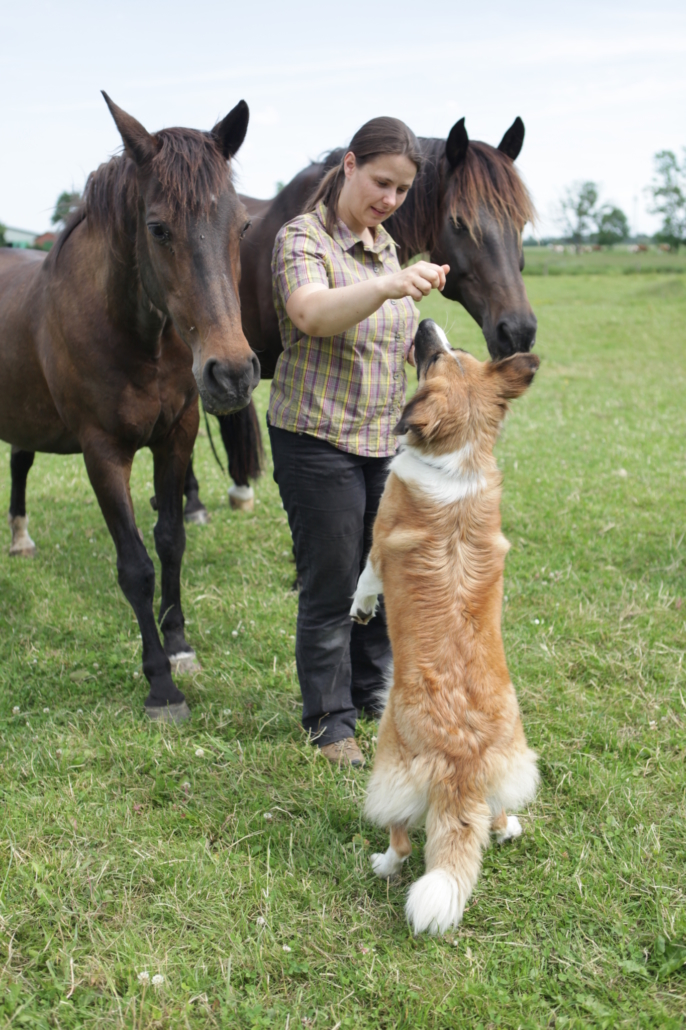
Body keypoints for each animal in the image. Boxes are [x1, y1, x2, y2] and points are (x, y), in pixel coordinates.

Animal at [0, 93, 259, 722]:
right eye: (158, 228)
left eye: (241, 224)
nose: (232, 372)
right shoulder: (102, 453)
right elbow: (135, 565)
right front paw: (161, 685)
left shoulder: (177, 437)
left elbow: (171, 541)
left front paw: (181, 645)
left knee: (19, 460)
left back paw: (21, 538)